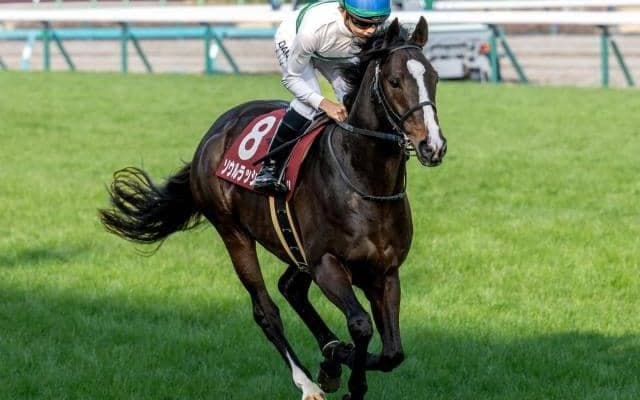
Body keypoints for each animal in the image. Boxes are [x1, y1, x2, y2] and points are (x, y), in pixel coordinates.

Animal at [99, 17, 446, 400]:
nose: (432, 146)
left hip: (293, 247)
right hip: (233, 232)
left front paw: (336, 359)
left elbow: (392, 352)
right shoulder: (326, 264)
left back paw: (328, 357)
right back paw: (308, 382)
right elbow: (360, 325)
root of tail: (213, 133)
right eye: (394, 81)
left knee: (290, 288)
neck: (366, 183)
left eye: (434, 77)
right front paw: (345, 371)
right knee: (265, 309)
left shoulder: (384, 272)